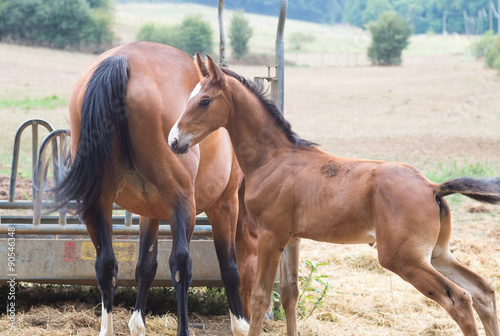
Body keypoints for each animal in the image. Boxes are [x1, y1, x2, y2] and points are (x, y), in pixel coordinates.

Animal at [170, 55, 500, 336]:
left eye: (204, 101)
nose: (174, 141)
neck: (274, 158)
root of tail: (433, 187)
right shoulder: (291, 239)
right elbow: (289, 293)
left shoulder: (269, 236)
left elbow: (260, 297)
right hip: (436, 255)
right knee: (483, 291)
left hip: (404, 258)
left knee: (459, 299)